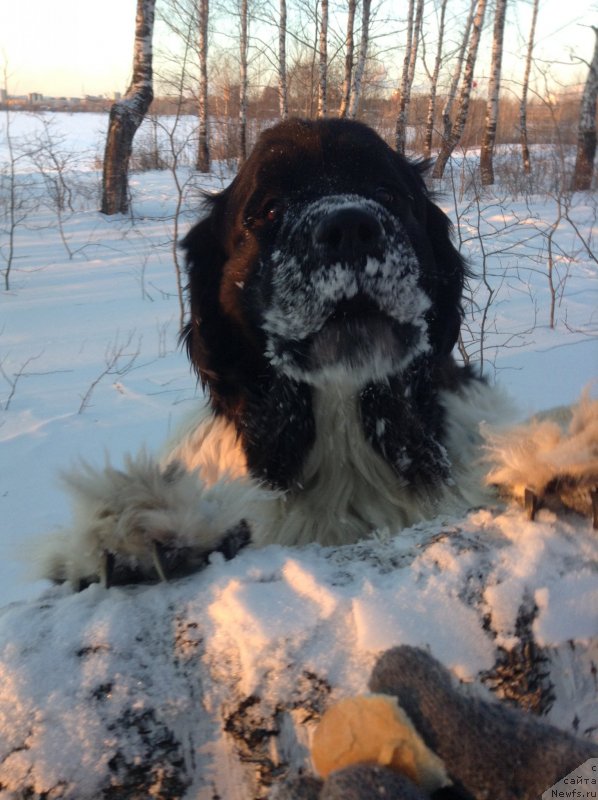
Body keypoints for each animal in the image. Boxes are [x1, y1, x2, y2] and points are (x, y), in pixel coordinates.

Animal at [39, 117, 596, 588]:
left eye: (387, 192)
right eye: (268, 209)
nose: (349, 228)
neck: (343, 433)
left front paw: (565, 459)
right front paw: (148, 527)